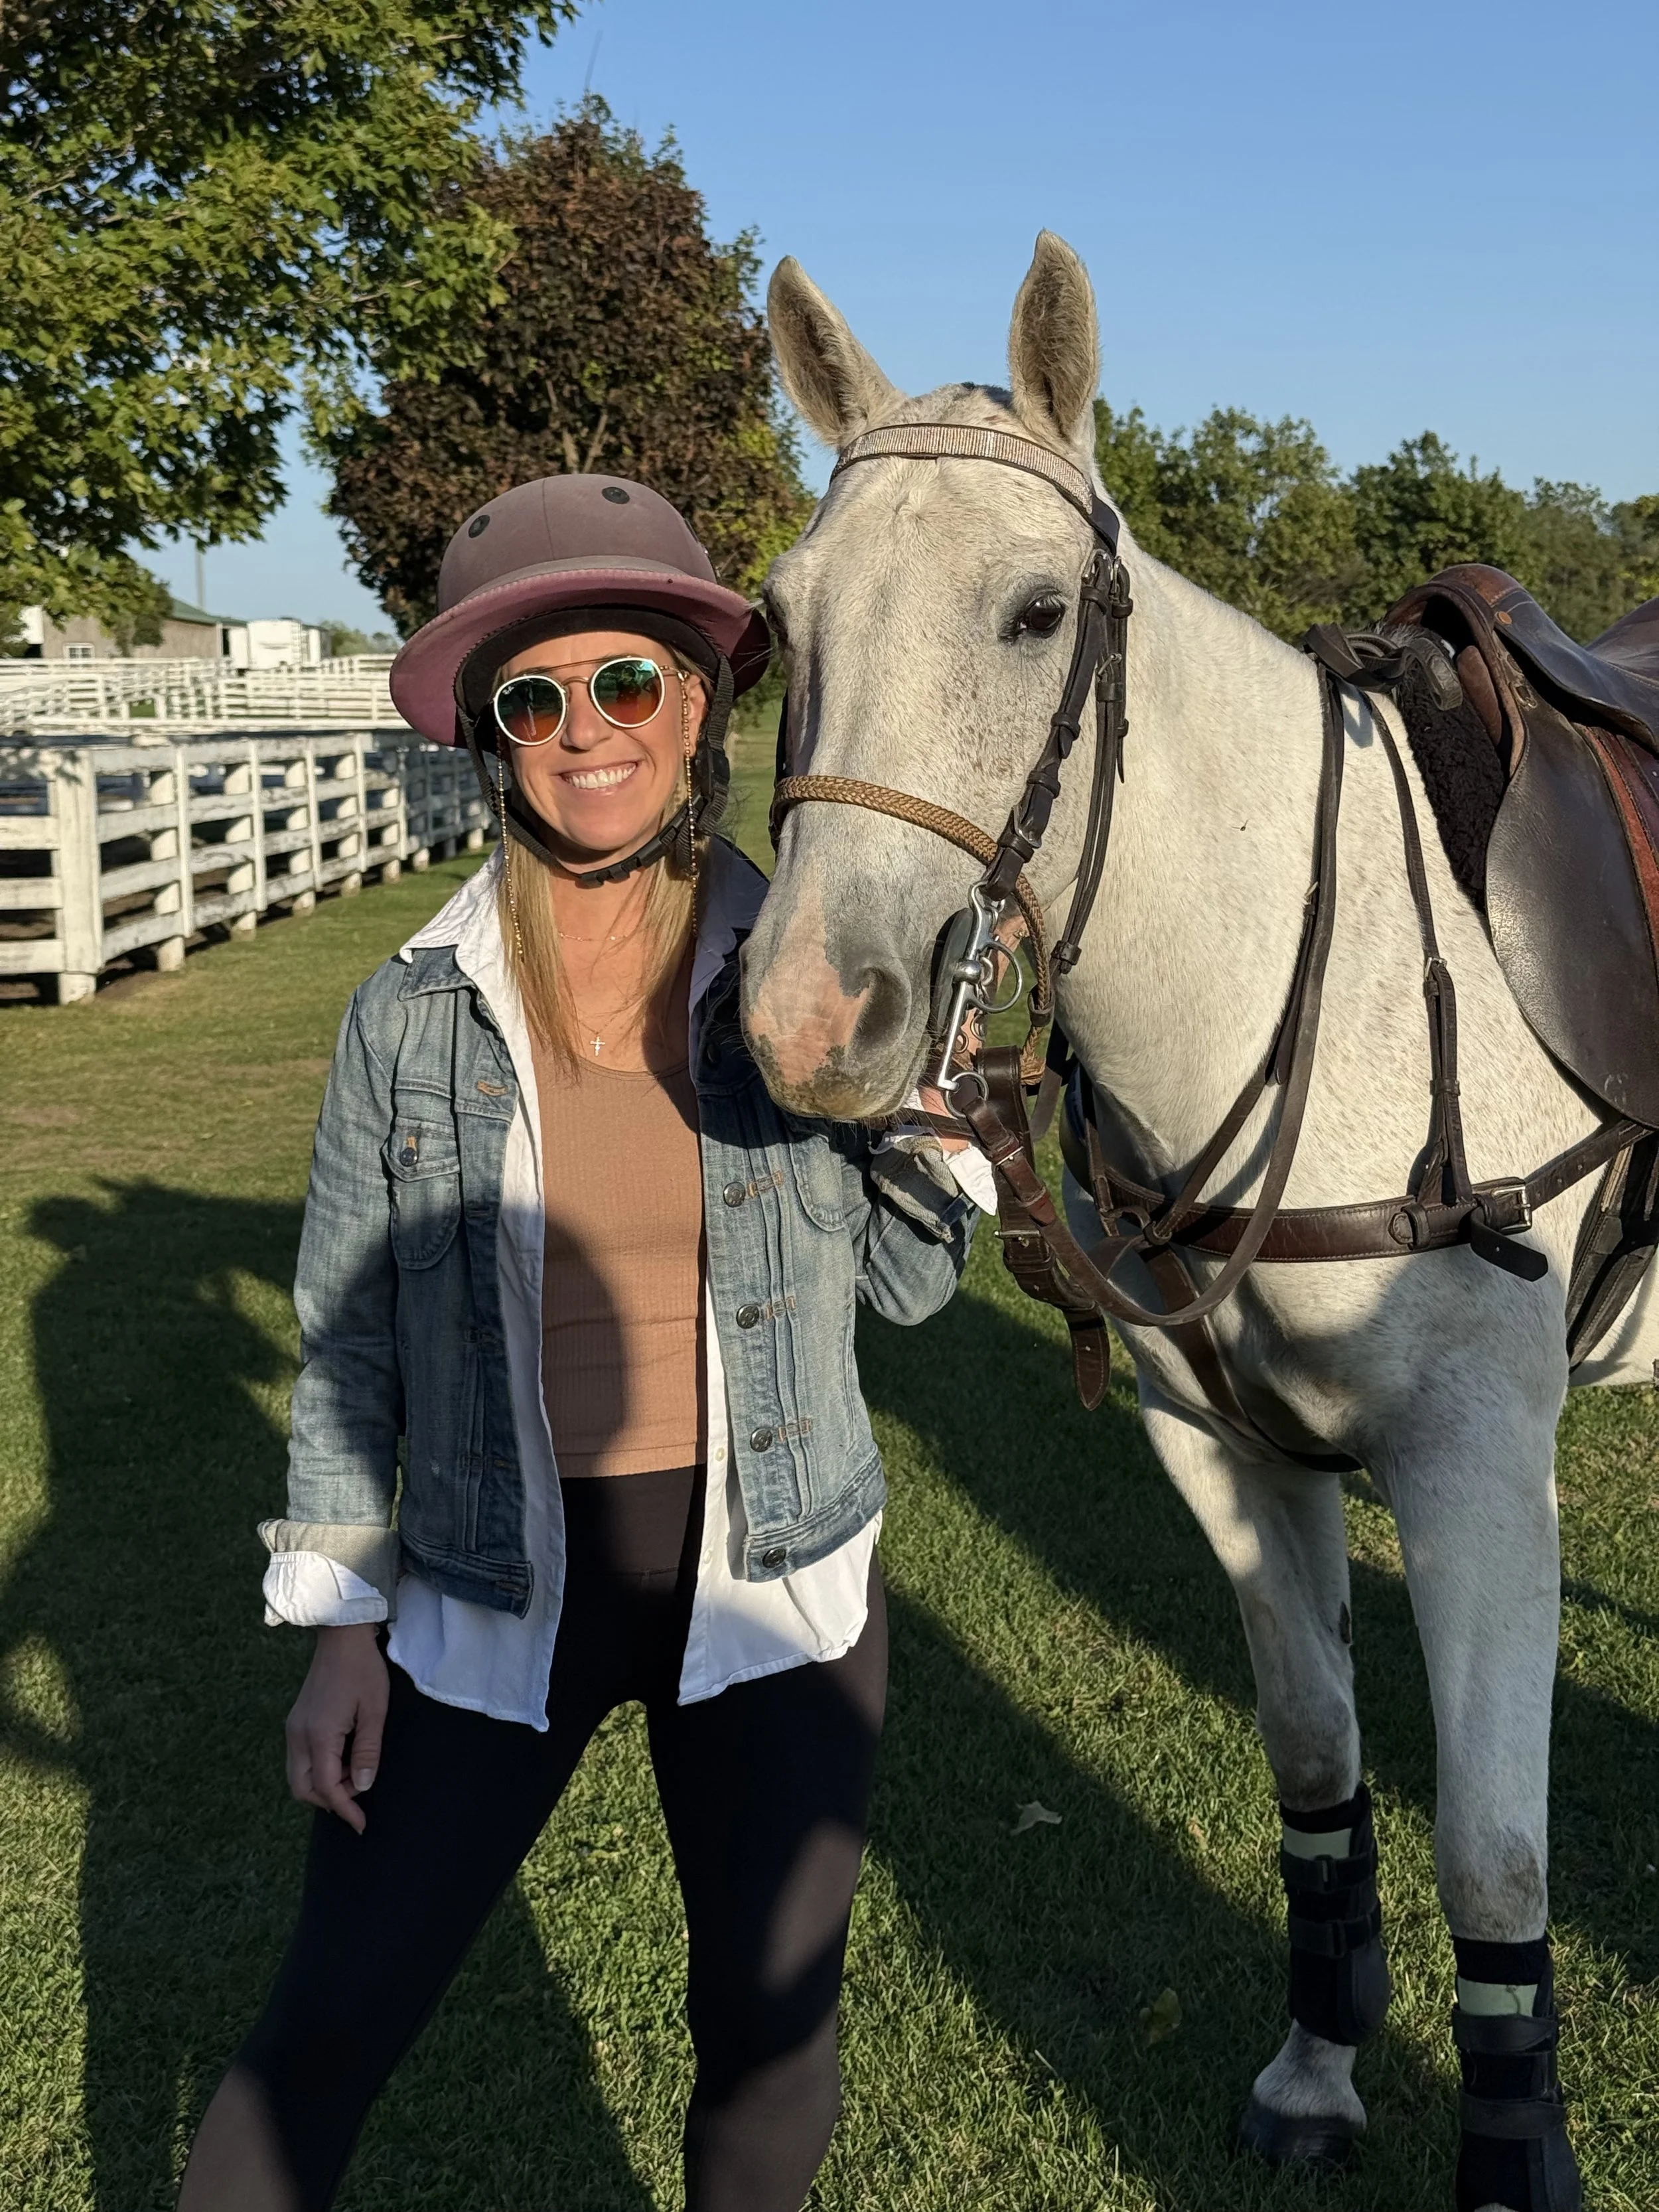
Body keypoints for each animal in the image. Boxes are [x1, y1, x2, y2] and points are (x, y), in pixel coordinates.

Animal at [738, 230, 1658, 2212]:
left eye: (1032, 614)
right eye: (781, 612)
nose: (802, 1020)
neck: (1300, 970)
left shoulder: (1480, 1468)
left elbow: (1493, 1855)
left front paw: (1511, 2154)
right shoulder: (1223, 1448)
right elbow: (1315, 1767)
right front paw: (1318, 2060)